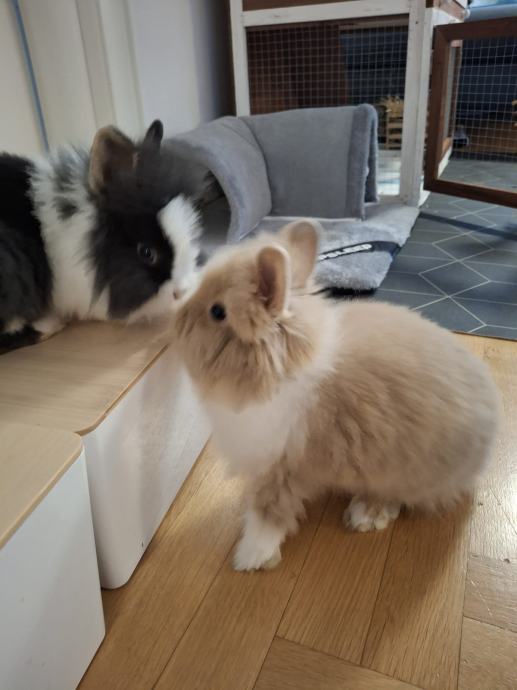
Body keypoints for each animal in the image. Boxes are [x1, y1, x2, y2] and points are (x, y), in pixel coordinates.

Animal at [174, 219, 500, 572]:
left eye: (217, 311)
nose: (177, 317)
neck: (285, 368)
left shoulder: (284, 467)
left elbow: (269, 512)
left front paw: (250, 558)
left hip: (407, 471)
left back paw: (366, 515)